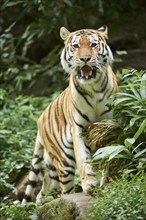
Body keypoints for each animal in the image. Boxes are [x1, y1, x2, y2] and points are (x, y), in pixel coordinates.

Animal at [22, 25, 117, 203]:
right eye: (76, 46)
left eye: (93, 45)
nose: (85, 59)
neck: (93, 87)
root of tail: (39, 120)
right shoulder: (79, 128)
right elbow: (83, 159)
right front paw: (89, 185)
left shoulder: (109, 125)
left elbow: (109, 154)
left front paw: (107, 184)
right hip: (63, 160)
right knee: (64, 190)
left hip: (51, 171)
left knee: (41, 192)